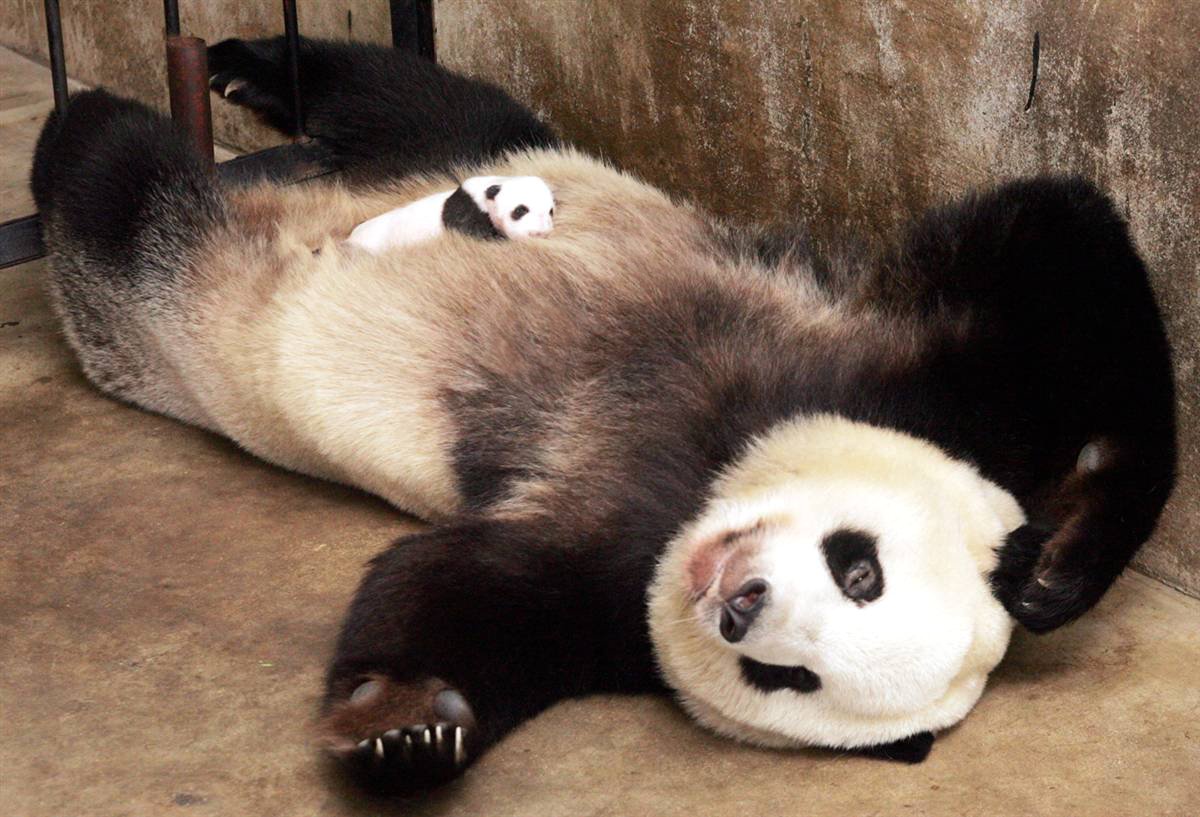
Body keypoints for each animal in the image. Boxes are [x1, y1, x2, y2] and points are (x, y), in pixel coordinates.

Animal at [29, 35, 1175, 794]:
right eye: (863, 569)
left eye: (788, 675)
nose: (740, 601)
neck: (720, 471)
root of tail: (322, 203)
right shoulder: (904, 378)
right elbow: (1060, 238)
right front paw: (1059, 565)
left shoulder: (609, 574)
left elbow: (461, 588)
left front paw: (408, 728)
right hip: (489, 164)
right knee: (361, 109)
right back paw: (226, 73)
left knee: (133, 182)